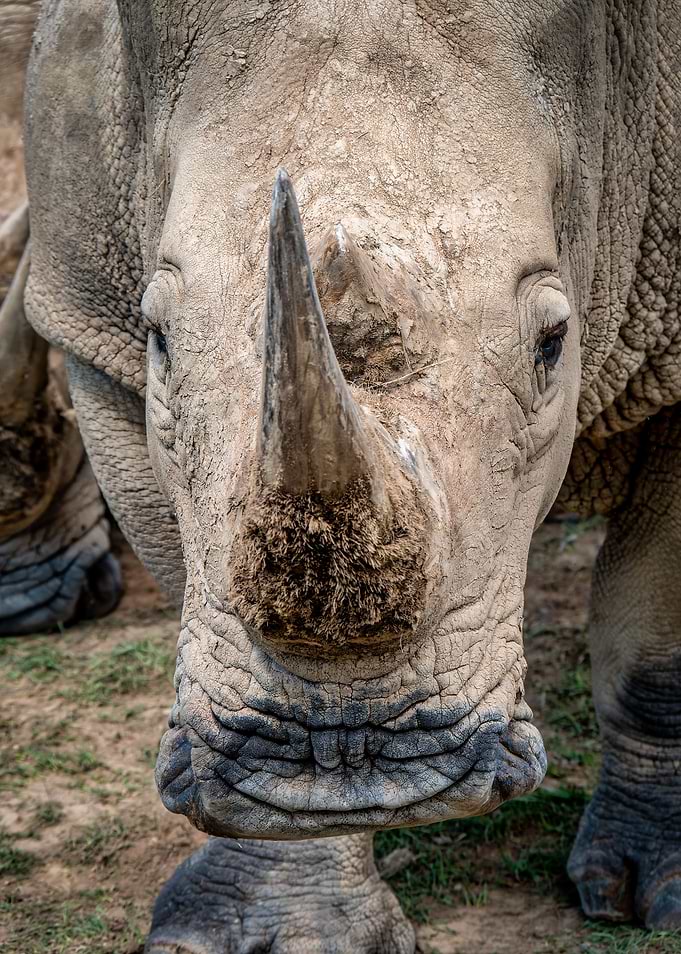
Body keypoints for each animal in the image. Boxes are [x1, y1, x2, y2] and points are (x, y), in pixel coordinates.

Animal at [19, 0, 681, 949]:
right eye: (158, 339)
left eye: (551, 344)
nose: (348, 752)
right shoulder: (92, 326)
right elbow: (194, 570)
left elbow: (657, 639)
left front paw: (654, 894)